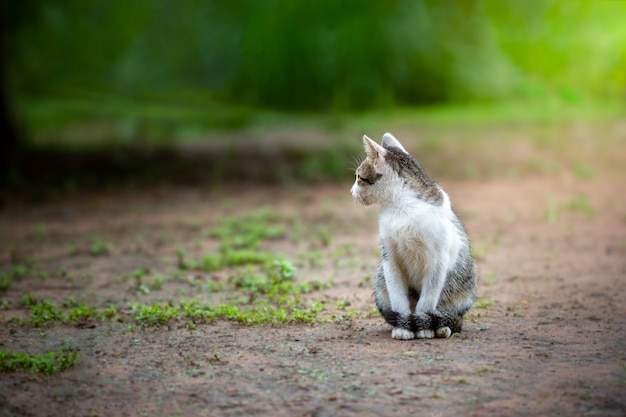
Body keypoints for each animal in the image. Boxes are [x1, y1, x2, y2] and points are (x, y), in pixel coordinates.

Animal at [348, 132, 476, 338]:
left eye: (359, 177)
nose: (351, 191)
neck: (401, 205)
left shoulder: (438, 260)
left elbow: (428, 300)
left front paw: (424, 328)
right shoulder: (389, 258)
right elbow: (398, 296)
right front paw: (404, 328)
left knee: (452, 317)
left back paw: (441, 326)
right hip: (380, 281)